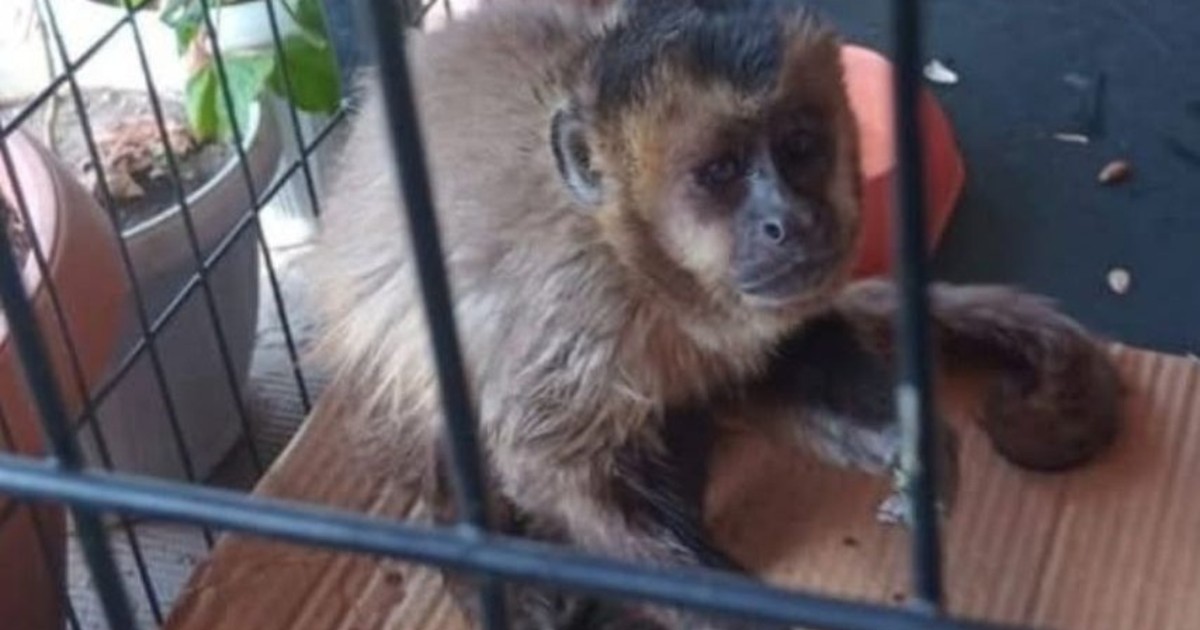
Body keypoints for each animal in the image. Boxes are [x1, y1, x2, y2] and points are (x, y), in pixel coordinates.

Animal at [303, 1, 1122, 628]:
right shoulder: (569, 310)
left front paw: (906, 444)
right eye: (720, 173)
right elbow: (553, 471)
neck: (640, 270)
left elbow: (786, 351)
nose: (790, 221)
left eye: (799, 147)